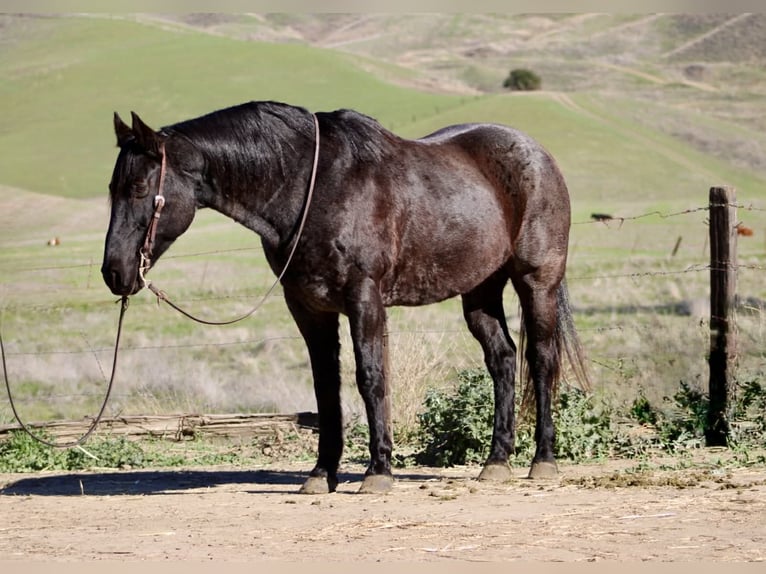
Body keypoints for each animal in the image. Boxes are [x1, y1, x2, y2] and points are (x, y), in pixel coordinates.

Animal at [102, 100, 589, 494]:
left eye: (140, 188)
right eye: (112, 189)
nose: (114, 272)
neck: (313, 187)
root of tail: (536, 153)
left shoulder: (364, 300)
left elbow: (371, 378)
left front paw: (378, 472)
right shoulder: (309, 309)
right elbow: (326, 389)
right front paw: (322, 474)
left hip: (537, 282)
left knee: (542, 360)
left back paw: (543, 461)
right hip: (480, 291)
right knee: (503, 360)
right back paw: (496, 462)